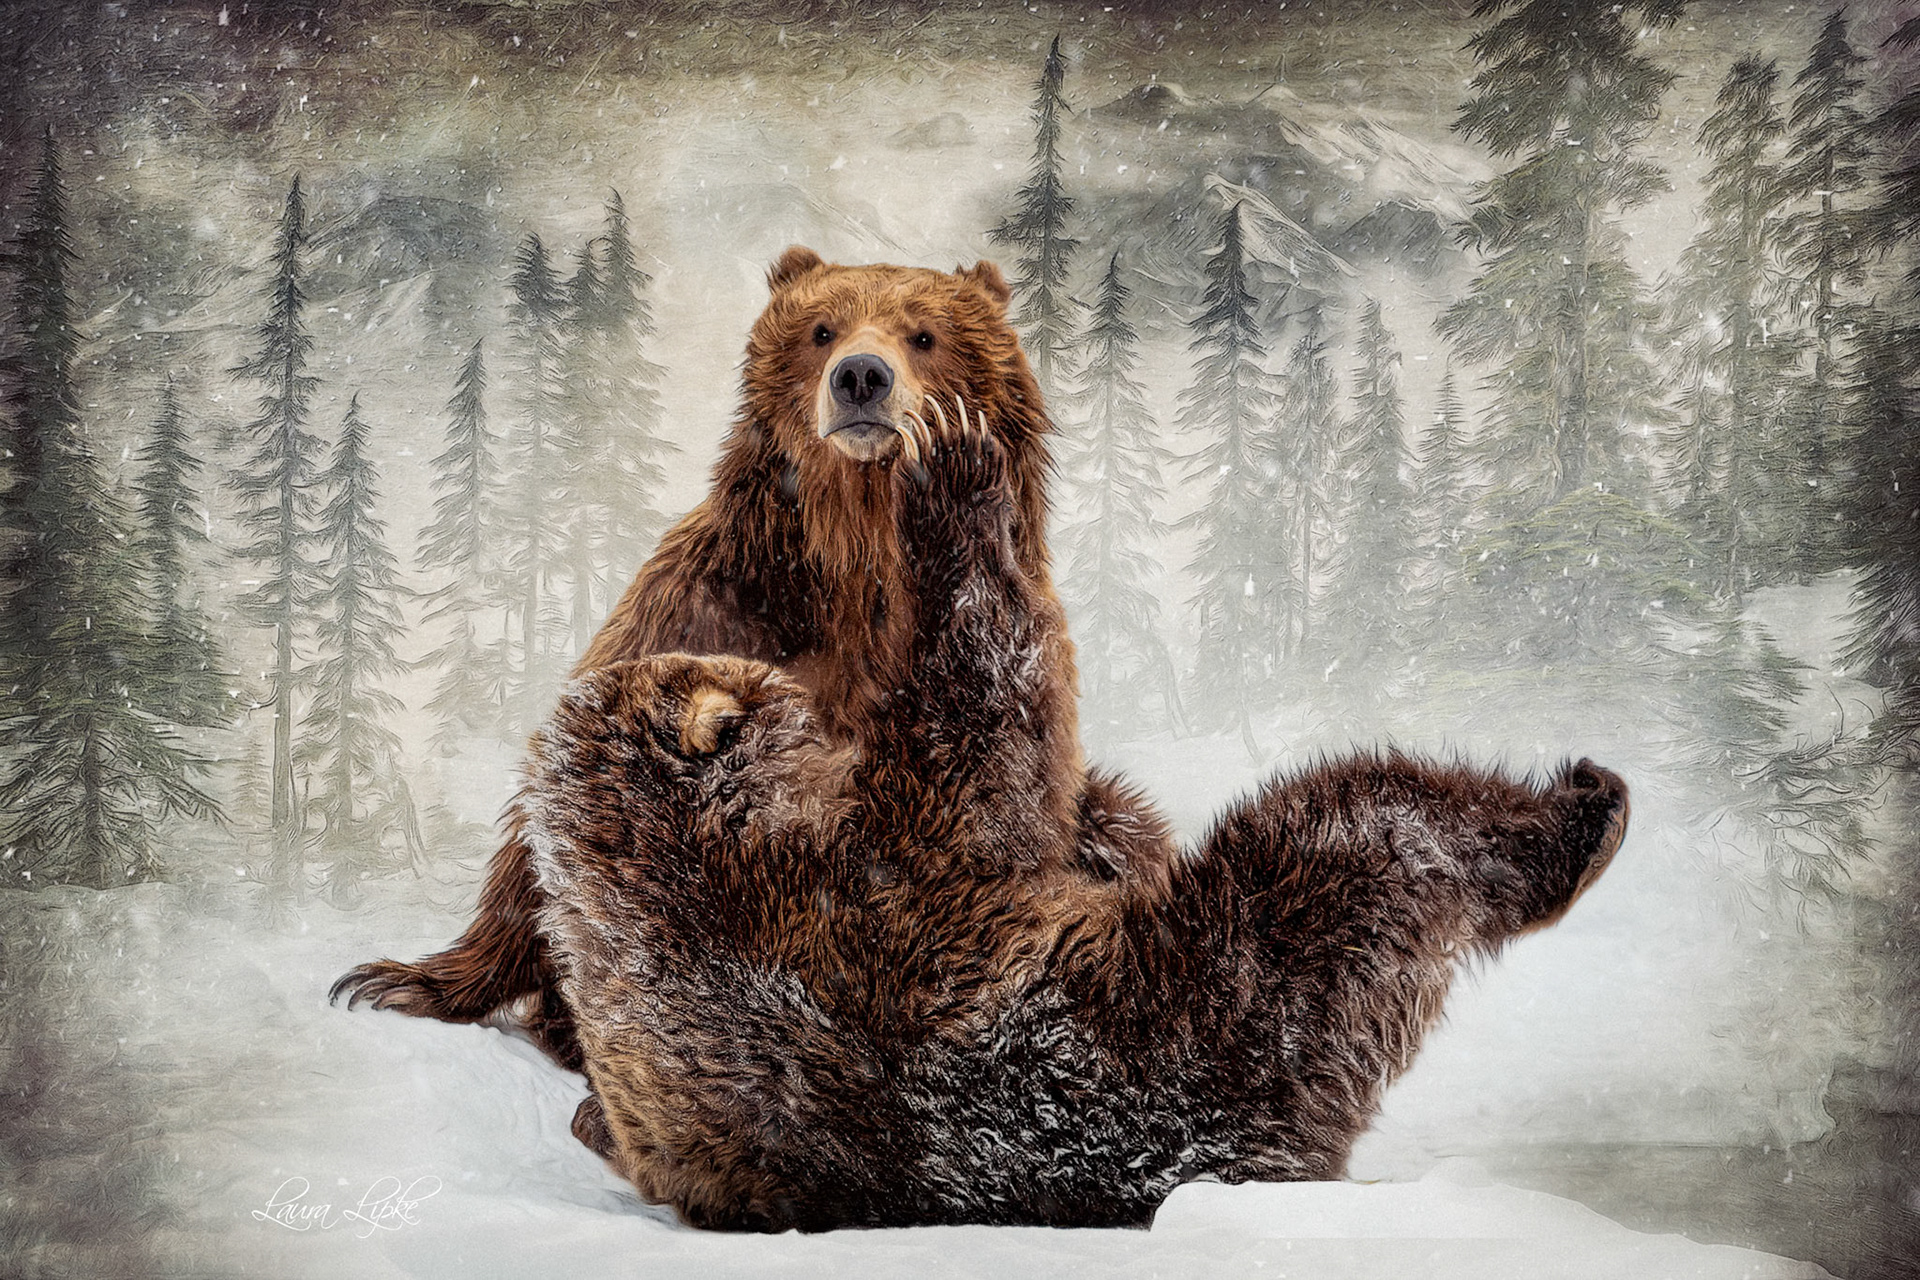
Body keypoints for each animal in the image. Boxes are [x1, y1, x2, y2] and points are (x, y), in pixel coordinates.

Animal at [332, 247, 1086, 1074]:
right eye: (822, 330)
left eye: (924, 335)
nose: (861, 376)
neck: (856, 558)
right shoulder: (710, 606)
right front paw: (408, 981)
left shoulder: (1003, 653)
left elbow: (984, 799)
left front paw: (954, 463)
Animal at [516, 415, 1632, 1231]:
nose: (750, 661)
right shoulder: (866, 892)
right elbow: (985, 737)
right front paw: (955, 481)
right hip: (1242, 981)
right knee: (1368, 821)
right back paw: (1580, 814)